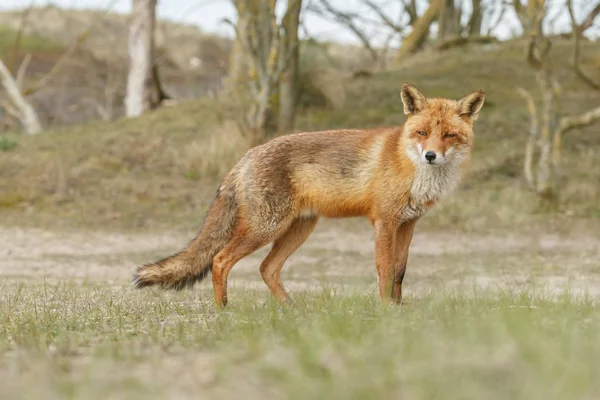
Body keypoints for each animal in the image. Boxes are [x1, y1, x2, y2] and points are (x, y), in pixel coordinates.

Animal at [134, 83, 486, 306]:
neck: (412, 170)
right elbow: (385, 270)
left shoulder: (408, 224)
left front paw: (399, 309)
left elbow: (400, 271)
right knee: (220, 261)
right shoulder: (384, 223)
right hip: (266, 227)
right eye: (422, 133)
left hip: (298, 229)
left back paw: (290, 310)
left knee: (267, 268)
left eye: (449, 135)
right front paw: (386, 309)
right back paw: (223, 311)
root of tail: (246, 156)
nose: (430, 155)